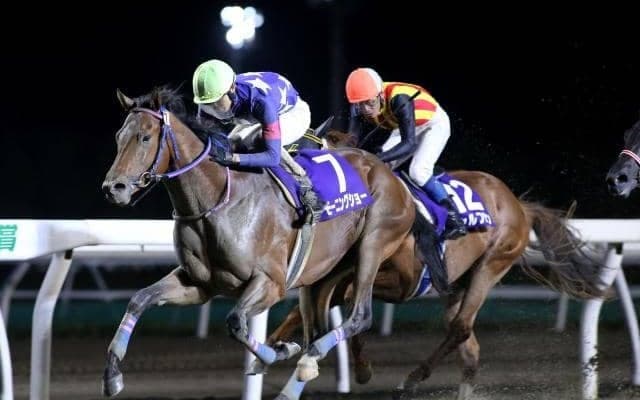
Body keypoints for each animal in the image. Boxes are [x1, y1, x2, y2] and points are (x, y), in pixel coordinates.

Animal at [99, 86, 447, 399]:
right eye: (118, 137)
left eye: (145, 137)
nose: (113, 188)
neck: (217, 200)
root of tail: (391, 175)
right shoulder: (198, 284)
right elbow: (139, 299)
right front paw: (112, 375)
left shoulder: (271, 283)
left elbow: (235, 322)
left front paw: (278, 352)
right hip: (321, 276)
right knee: (317, 330)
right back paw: (297, 380)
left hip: (373, 244)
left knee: (359, 317)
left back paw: (307, 360)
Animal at [262, 131, 607, 400]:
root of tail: (518, 204)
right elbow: (312, 308)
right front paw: (273, 346)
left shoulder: (403, 281)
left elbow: (349, 304)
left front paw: (358, 368)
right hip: (455, 285)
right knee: (469, 349)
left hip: (492, 263)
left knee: (461, 328)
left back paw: (410, 380)